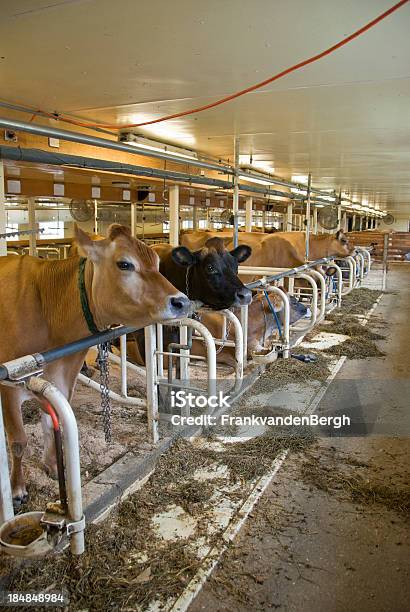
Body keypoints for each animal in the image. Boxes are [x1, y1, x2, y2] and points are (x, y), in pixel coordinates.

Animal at [0, 222, 191, 504]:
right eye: (124, 264)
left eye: (157, 263)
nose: (182, 301)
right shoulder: (9, 384)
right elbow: (18, 441)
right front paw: (17, 490)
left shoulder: (62, 376)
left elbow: (50, 422)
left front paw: (54, 467)